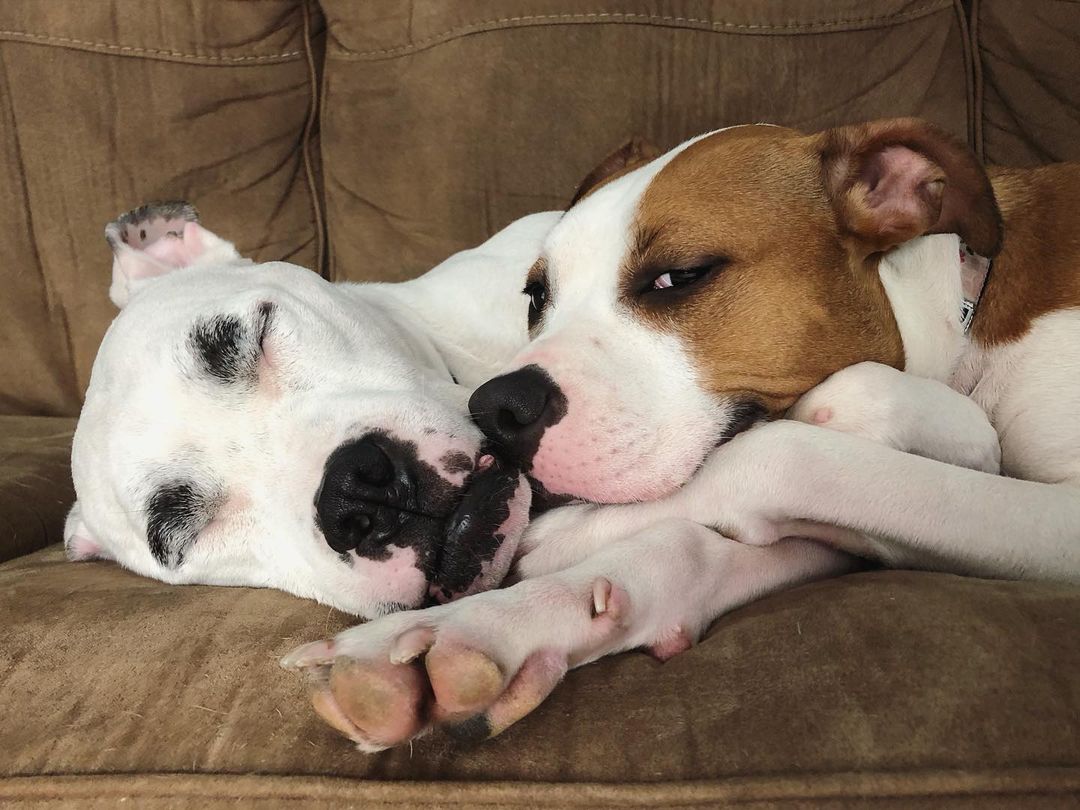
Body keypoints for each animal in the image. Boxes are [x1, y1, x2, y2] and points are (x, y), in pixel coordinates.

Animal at [280, 118, 1080, 756]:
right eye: (536, 297)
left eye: (677, 277)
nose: (494, 408)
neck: (964, 312)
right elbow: (690, 548)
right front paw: (475, 632)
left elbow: (788, 454)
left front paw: (571, 534)